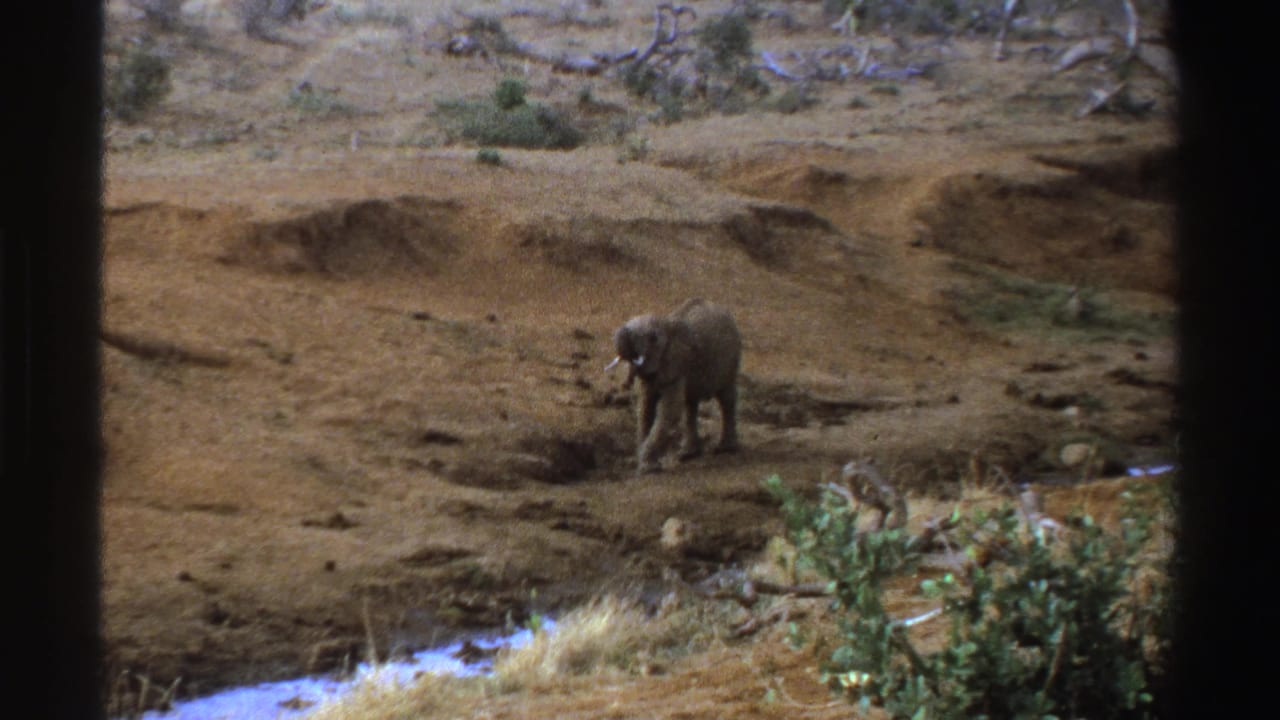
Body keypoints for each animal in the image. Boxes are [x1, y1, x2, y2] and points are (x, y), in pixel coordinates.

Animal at [608, 298, 741, 474]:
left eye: (651, 339)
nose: (624, 385)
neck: (663, 323)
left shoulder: (676, 365)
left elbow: (669, 411)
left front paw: (649, 468)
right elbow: (645, 408)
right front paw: (645, 464)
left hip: (731, 359)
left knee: (726, 398)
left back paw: (725, 450)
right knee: (690, 404)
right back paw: (688, 454)